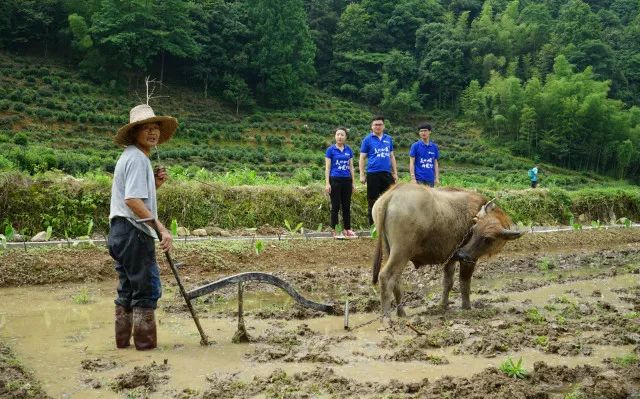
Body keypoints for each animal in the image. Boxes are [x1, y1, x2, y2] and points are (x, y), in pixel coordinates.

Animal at [370, 184, 524, 318]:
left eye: (488, 239)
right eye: (474, 230)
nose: (461, 253)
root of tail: (392, 192)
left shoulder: (450, 258)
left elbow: (448, 283)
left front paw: (443, 305)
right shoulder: (469, 260)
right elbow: (464, 283)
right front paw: (467, 307)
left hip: (389, 251)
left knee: (396, 280)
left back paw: (401, 313)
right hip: (401, 252)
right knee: (386, 277)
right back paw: (386, 316)